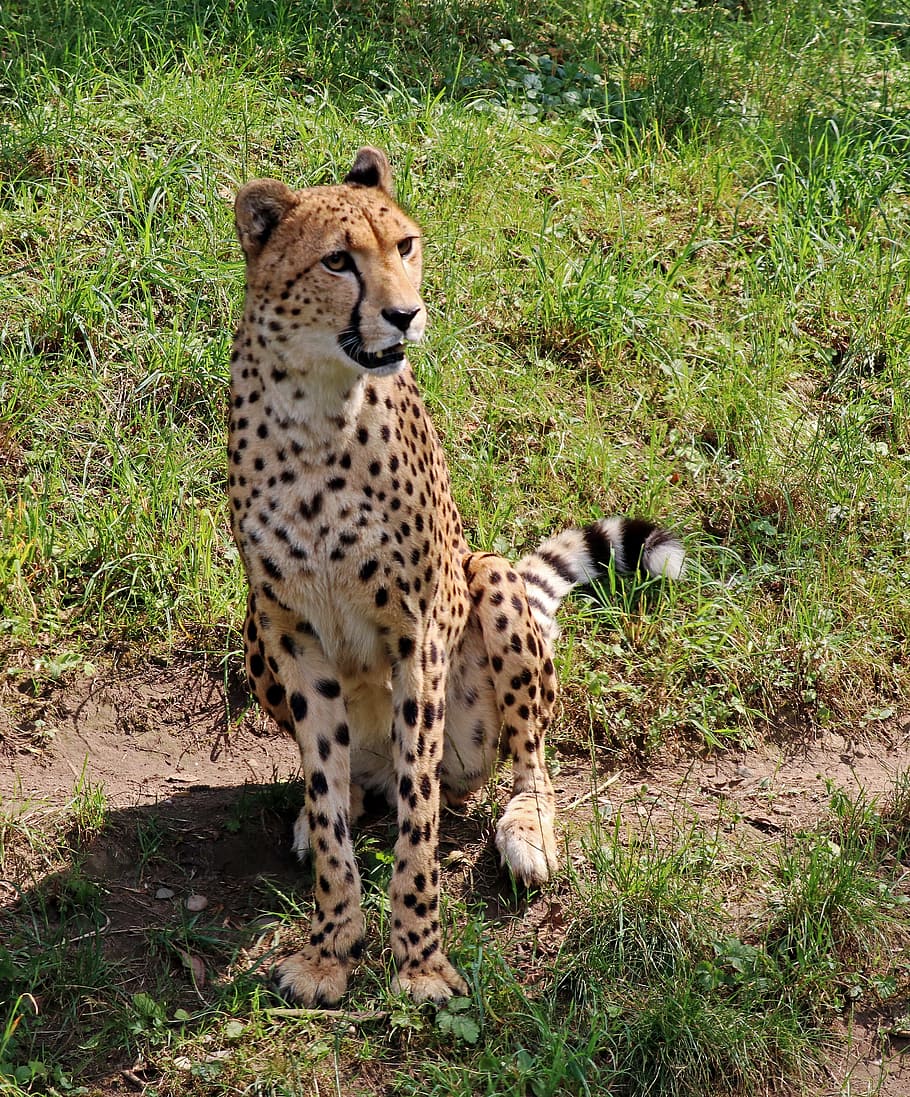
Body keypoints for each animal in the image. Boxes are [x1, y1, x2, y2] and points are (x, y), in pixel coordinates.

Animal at [228, 146, 684, 1007]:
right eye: (337, 261)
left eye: (405, 245)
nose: (406, 315)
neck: (319, 407)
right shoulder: (291, 626)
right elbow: (334, 811)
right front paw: (331, 947)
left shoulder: (419, 629)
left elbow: (418, 818)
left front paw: (421, 962)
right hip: (253, 630)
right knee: (349, 782)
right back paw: (328, 806)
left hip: (489, 583)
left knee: (524, 761)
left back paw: (526, 832)